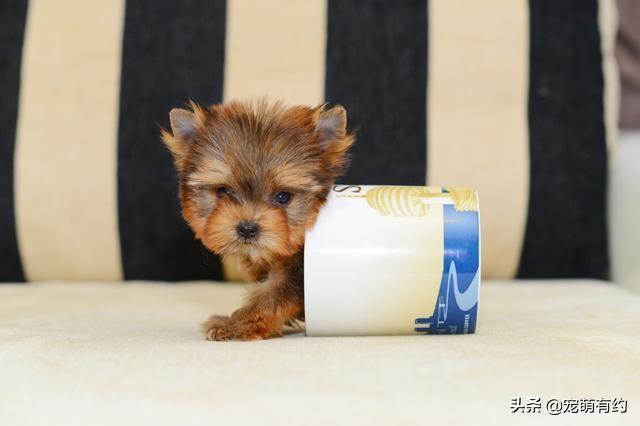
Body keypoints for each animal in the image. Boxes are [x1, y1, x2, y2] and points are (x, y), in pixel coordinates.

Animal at [162, 99, 356, 340]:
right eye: (223, 192)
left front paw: (235, 326)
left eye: (283, 197)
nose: (247, 228)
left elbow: (269, 297)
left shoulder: (296, 274)